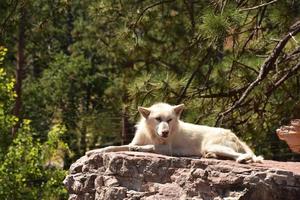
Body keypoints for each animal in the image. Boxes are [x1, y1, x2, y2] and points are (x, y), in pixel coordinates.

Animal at [86, 102, 262, 163]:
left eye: (169, 120)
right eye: (158, 119)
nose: (165, 133)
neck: (151, 134)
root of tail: (233, 134)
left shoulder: (165, 149)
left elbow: (149, 147)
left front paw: (139, 149)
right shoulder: (131, 142)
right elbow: (112, 147)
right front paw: (93, 151)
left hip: (213, 145)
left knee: (245, 156)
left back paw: (242, 160)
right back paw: (211, 157)